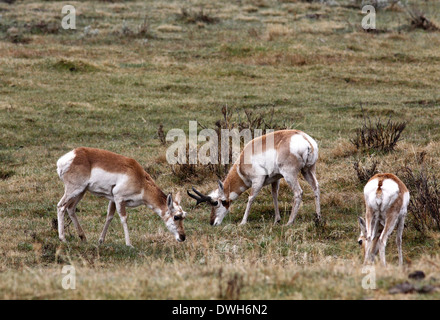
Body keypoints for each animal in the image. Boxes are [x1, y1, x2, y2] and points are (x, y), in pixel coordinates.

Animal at [55, 146, 186, 246]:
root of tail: (71, 156)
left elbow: (109, 216)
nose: (183, 237)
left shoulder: (113, 200)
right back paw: (63, 239)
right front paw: (129, 244)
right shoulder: (119, 199)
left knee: (70, 208)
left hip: (81, 192)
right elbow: (124, 218)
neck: (140, 180)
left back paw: (83, 237)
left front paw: (101, 240)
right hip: (73, 190)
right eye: (176, 217)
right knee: (61, 206)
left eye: (184, 215)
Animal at [186, 129, 320, 226]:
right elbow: (274, 195)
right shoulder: (276, 179)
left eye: (217, 203)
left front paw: (243, 222)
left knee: (298, 192)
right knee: (316, 187)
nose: (212, 222)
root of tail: (305, 139)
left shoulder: (258, 180)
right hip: (308, 170)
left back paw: (289, 222)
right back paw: (318, 217)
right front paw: (277, 219)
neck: (243, 160)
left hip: (290, 175)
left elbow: (250, 198)